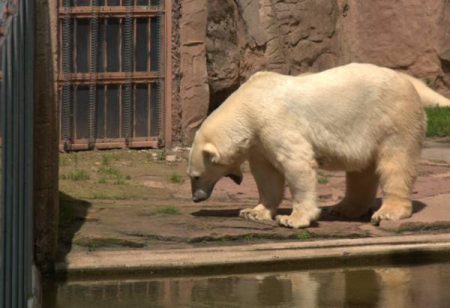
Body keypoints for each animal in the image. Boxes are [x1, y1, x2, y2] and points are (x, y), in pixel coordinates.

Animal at [187, 62, 450, 227]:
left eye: (196, 176)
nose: (196, 198)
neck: (250, 104)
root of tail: (409, 82)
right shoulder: (259, 142)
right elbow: (266, 175)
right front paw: (253, 212)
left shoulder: (276, 123)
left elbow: (297, 163)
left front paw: (293, 219)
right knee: (361, 171)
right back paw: (344, 208)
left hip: (391, 117)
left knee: (395, 163)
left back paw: (386, 212)